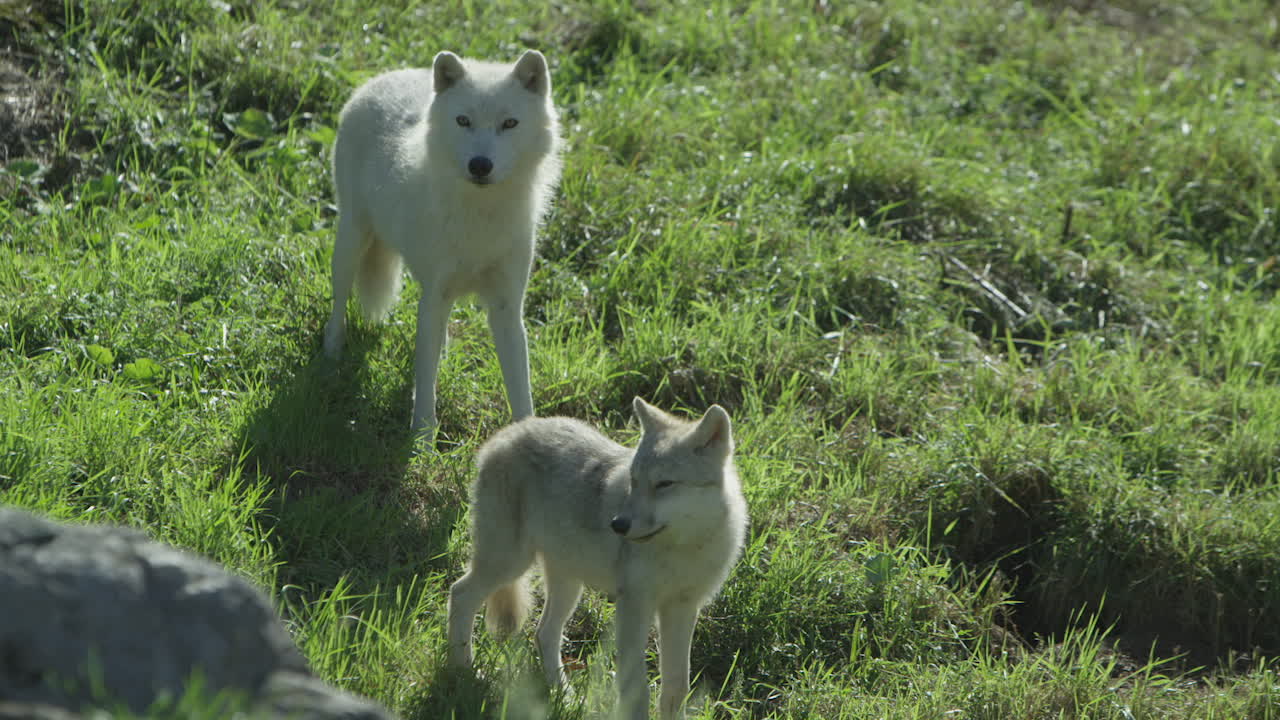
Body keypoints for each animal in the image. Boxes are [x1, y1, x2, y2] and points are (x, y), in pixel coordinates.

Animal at [324, 50, 562, 437]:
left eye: (509, 124)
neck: (481, 218)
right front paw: (421, 438)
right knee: (338, 305)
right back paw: (330, 357)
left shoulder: (507, 307)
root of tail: (381, 79)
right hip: (350, 242)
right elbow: (425, 382)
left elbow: (520, 386)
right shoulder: (434, 297)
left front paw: (528, 435)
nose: (480, 165)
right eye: (463, 121)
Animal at [447, 398, 749, 720]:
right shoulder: (634, 606)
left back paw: (564, 697)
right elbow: (636, 688)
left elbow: (676, 686)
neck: (683, 547)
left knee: (543, 634)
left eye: (664, 484)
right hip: (509, 564)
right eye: (634, 481)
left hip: (567, 587)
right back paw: (463, 671)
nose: (618, 524)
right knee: (460, 594)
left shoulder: (682, 608)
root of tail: (507, 433)